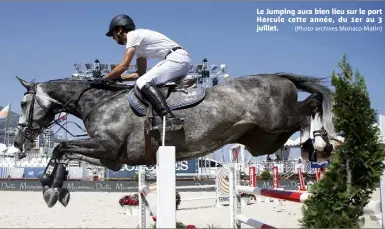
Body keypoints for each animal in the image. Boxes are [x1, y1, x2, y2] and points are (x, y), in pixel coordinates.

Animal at [13, 73, 338, 208]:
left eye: (23, 103)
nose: (17, 143)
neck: (98, 102)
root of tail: (279, 78)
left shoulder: (108, 148)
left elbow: (59, 147)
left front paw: (48, 185)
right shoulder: (111, 158)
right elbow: (65, 152)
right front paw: (54, 188)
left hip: (276, 121)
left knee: (311, 105)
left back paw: (321, 145)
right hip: (264, 139)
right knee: (302, 116)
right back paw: (313, 147)